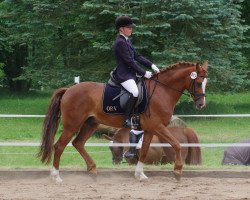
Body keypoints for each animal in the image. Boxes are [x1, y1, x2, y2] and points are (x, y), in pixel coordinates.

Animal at [38, 60, 208, 181]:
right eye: (199, 83)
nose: (201, 105)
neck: (162, 91)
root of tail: (69, 89)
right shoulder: (158, 126)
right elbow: (176, 144)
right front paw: (178, 170)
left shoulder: (149, 129)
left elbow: (144, 150)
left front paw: (140, 175)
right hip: (72, 124)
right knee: (59, 146)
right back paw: (56, 176)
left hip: (90, 123)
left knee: (78, 143)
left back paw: (92, 169)